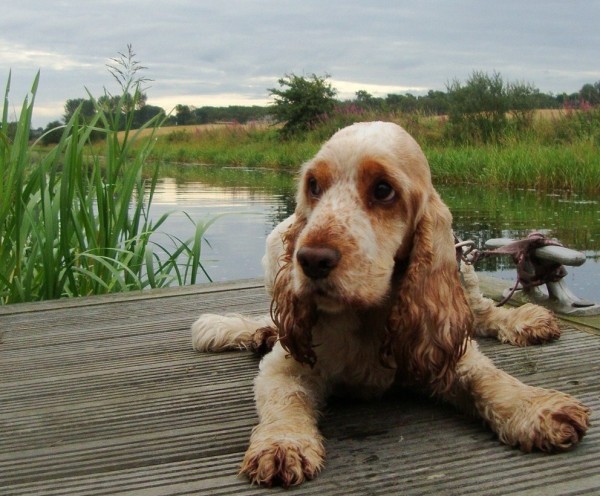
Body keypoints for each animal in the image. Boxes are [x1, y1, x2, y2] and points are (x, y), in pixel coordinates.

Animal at [192, 122, 592, 486]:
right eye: (313, 186)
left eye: (383, 190)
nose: (310, 260)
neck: (368, 315)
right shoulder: (286, 367)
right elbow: (284, 400)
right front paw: (283, 445)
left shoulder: (450, 353)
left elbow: (491, 378)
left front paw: (537, 408)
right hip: (275, 248)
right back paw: (259, 333)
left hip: (463, 268)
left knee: (481, 311)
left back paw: (525, 319)